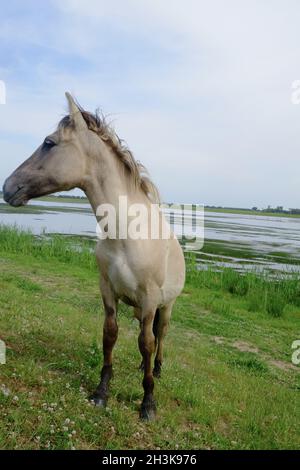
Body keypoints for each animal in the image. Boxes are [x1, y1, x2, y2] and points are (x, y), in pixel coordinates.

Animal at [2, 93, 185, 420]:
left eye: (49, 142)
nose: (7, 186)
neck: (126, 234)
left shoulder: (150, 298)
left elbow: (147, 342)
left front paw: (148, 403)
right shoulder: (108, 291)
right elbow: (110, 335)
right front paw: (101, 391)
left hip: (166, 306)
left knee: (160, 336)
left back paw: (157, 369)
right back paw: (142, 367)